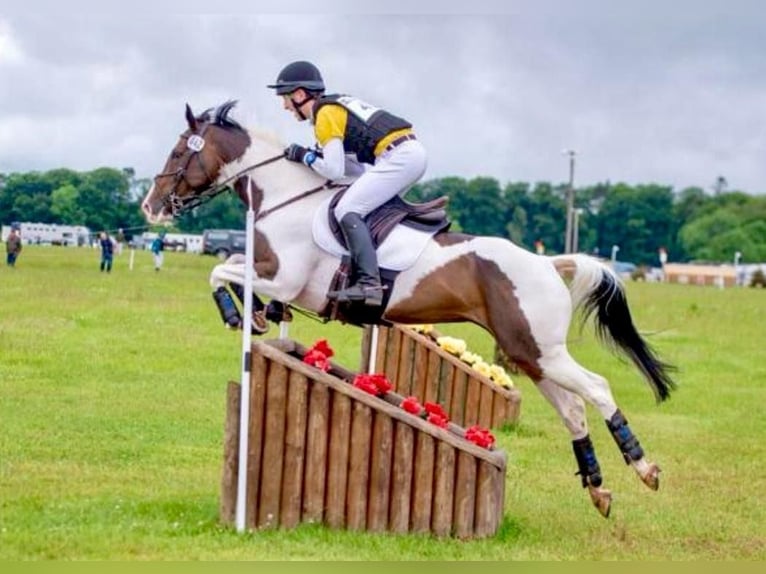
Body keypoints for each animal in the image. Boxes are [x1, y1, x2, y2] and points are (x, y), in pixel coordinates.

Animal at [142, 101, 680, 520]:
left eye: (178, 152)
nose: (151, 206)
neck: (286, 198)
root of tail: (548, 262)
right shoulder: (272, 273)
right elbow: (231, 268)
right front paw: (254, 314)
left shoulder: (289, 279)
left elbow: (222, 271)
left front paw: (239, 315)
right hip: (530, 353)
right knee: (572, 409)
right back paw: (598, 488)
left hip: (541, 351)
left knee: (598, 388)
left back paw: (644, 467)